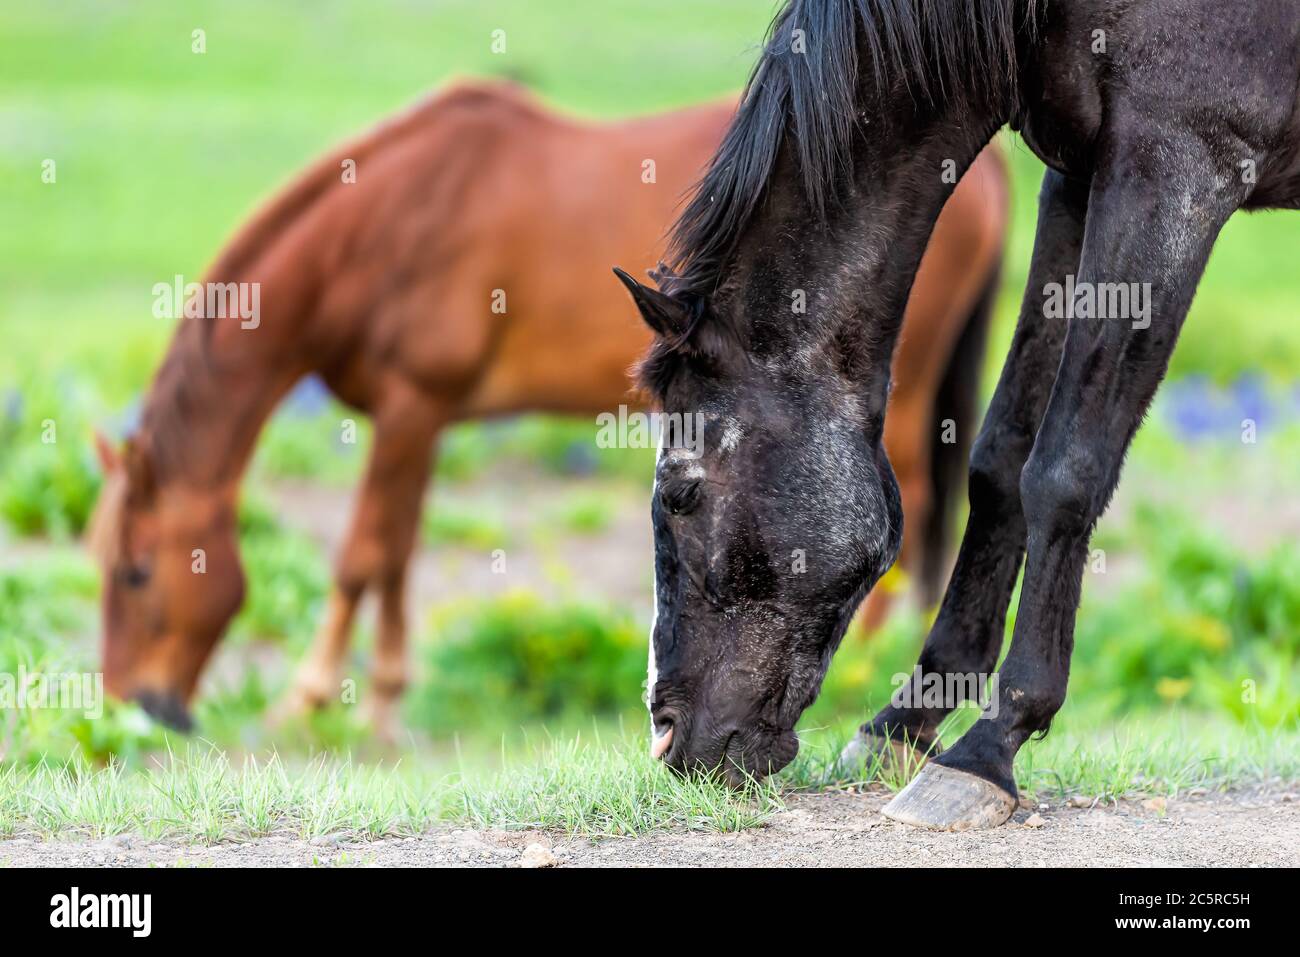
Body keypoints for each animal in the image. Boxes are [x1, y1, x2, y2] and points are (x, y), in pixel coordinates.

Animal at [88, 80, 1007, 739]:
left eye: (136, 571)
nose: (132, 701)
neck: (377, 230)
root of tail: (985, 173)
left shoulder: (411, 406)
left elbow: (363, 553)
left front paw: (310, 698)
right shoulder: (419, 419)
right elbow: (398, 553)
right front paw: (382, 699)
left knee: (912, 497)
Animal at [617, 0, 1300, 829]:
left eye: (682, 493)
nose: (666, 736)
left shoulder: (1174, 171)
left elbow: (1066, 467)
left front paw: (990, 743)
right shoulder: (1077, 181)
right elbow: (1002, 458)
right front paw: (908, 720)